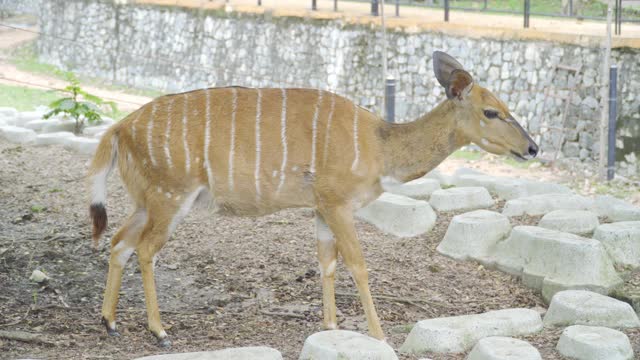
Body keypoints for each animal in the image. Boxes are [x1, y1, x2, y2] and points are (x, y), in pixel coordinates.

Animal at [87, 51, 536, 346]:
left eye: (507, 105)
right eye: (491, 112)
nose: (532, 148)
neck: (380, 147)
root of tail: (117, 129)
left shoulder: (320, 207)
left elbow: (327, 262)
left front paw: (332, 327)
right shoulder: (338, 202)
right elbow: (358, 264)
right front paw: (378, 336)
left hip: (146, 198)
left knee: (118, 241)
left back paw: (110, 322)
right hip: (171, 193)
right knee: (146, 248)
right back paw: (160, 331)